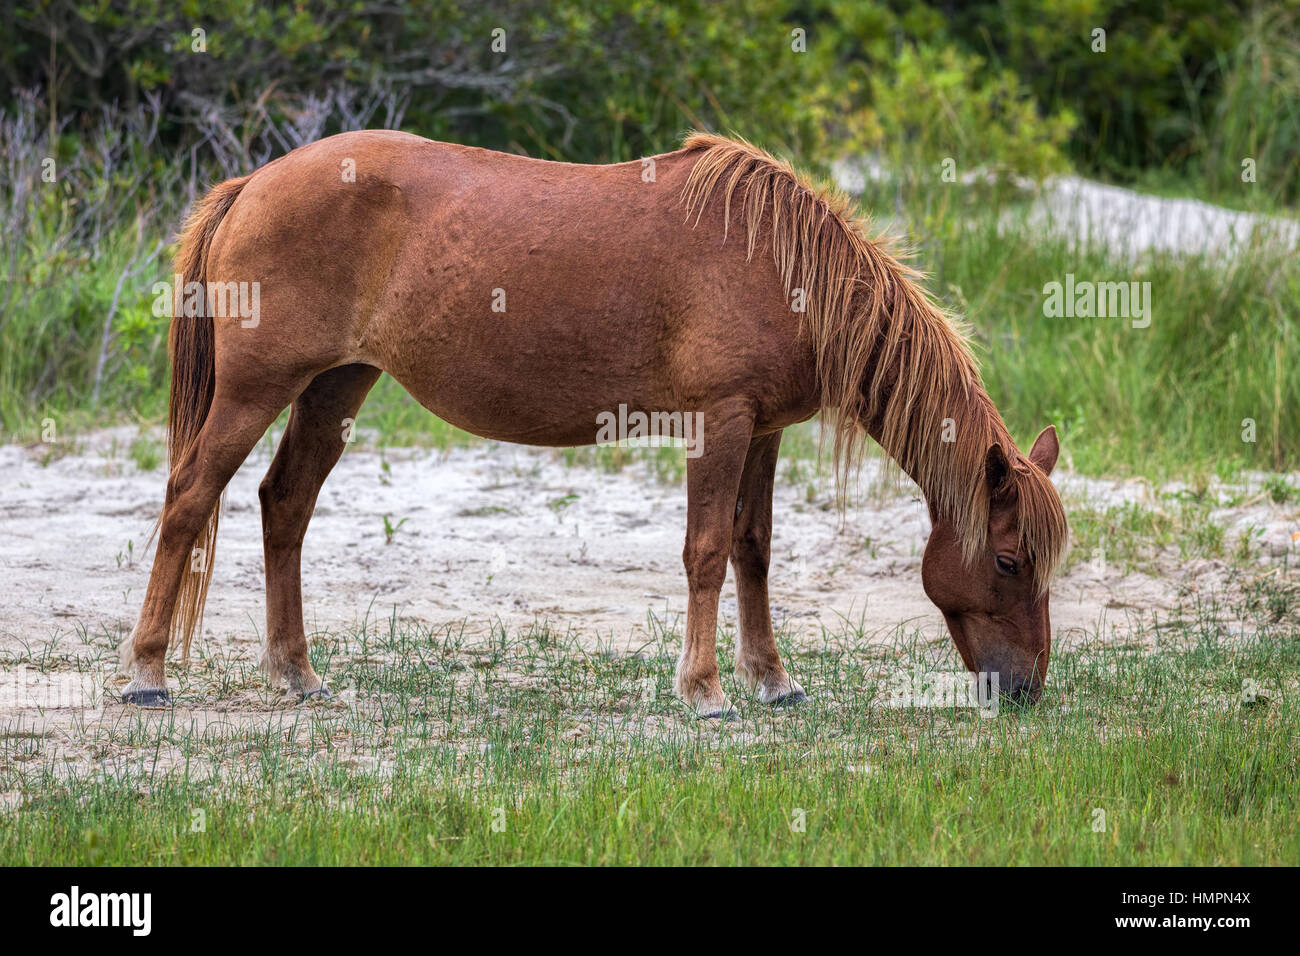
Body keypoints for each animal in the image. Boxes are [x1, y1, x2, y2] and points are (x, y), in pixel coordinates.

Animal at [119, 130, 1068, 716]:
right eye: (1009, 560)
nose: (1025, 689)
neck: (781, 265)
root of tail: (253, 183)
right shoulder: (720, 425)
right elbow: (707, 553)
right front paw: (705, 691)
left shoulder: (765, 431)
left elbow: (754, 550)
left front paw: (773, 681)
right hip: (255, 391)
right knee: (188, 500)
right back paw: (147, 673)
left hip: (334, 388)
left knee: (285, 505)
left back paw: (297, 674)